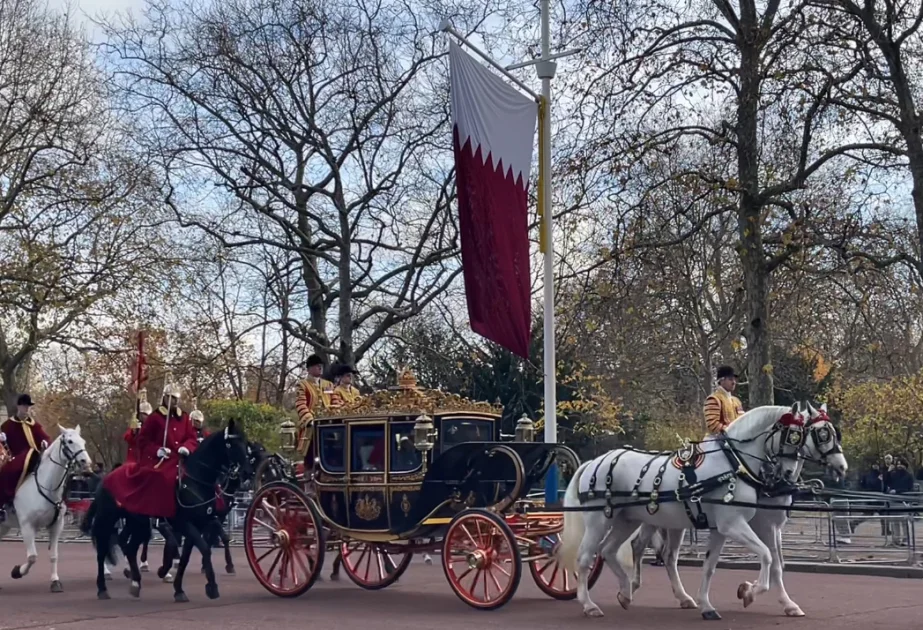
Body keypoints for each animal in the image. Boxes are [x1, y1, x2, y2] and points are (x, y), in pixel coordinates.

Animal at [0, 428, 92, 596]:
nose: (85, 462)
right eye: (69, 441)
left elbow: (54, 556)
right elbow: (32, 557)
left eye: (83, 441)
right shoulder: (27, 526)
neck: (47, 487)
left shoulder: (57, 525)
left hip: (3, 526)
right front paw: (17, 571)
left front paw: (55, 582)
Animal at [80, 422, 251, 604]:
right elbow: (203, 548)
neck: (195, 481)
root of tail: (105, 479)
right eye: (231, 444)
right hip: (107, 519)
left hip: (137, 523)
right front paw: (211, 586)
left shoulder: (202, 523)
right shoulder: (182, 524)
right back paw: (103, 587)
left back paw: (135, 581)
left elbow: (186, 557)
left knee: (129, 547)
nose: (246, 473)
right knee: (102, 551)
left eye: (246, 444)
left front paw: (178, 589)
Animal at [556, 404, 808, 624]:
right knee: (585, 557)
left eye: (803, 438)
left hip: (627, 520)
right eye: (792, 436)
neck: (732, 464)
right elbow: (766, 555)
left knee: (609, 550)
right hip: (599, 520)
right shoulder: (733, 524)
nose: (787, 473)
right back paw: (589, 605)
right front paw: (749, 592)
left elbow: (710, 566)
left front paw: (709, 605)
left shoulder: (722, 528)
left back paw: (626, 592)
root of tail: (594, 461)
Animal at [620, 404, 852, 624]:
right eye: (822, 433)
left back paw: (677, 596)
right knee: (641, 547)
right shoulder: (749, 524)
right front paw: (749, 591)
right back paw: (632, 588)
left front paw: (787, 604)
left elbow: (776, 565)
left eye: (831, 432)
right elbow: (768, 558)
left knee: (660, 552)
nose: (842, 467)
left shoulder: (771, 526)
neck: (740, 466)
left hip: (667, 521)